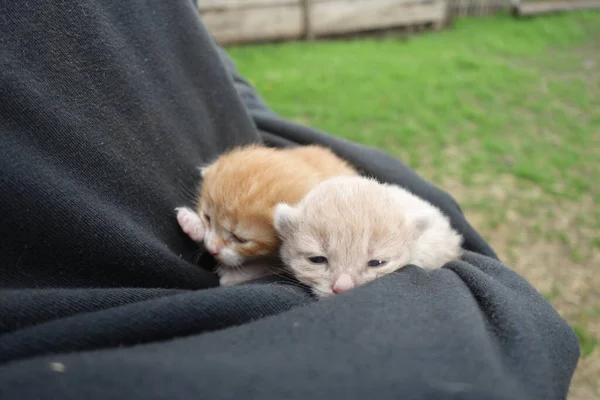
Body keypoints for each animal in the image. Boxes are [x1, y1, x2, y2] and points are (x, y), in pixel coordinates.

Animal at [177, 143, 356, 284]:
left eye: (240, 239)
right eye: (207, 218)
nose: (211, 250)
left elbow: (267, 267)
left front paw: (234, 275)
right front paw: (192, 223)